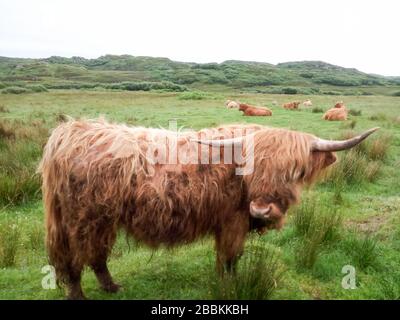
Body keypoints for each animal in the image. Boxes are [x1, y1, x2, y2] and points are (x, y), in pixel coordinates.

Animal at [39, 118, 380, 300]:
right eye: (252, 167)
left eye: (295, 171)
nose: (261, 209)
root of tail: (71, 132)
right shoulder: (233, 221)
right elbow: (231, 257)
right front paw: (231, 286)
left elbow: (224, 258)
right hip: (82, 218)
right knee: (74, 259)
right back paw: (79, 294)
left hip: (102, 219)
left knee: (96, 255)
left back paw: (111, 287)